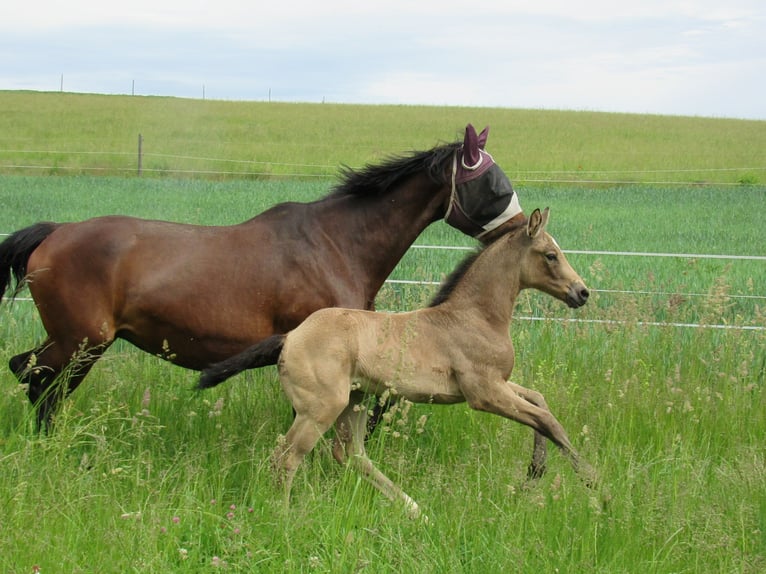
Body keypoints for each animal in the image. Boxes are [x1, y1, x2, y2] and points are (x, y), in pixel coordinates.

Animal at [0, 126, 524, 432]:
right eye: (496, 184)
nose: (524, 230)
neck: (335, 244)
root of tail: (55, 232)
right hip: (82, 341)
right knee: (39, 383)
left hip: (73, 341)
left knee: (27, 373)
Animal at [198, 209, 592, 520]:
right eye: (550, 255)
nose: (583, 292)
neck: (475, 316)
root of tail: (290, 337)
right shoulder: (483, 392)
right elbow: (547, 420)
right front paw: (593, 483)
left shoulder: (498, 383)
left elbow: (539, 401)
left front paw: (536, 472)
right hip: (321, 409)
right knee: (287, 458)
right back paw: (284, 515)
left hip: (353, 402)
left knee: (351, 453)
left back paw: (417, 511)